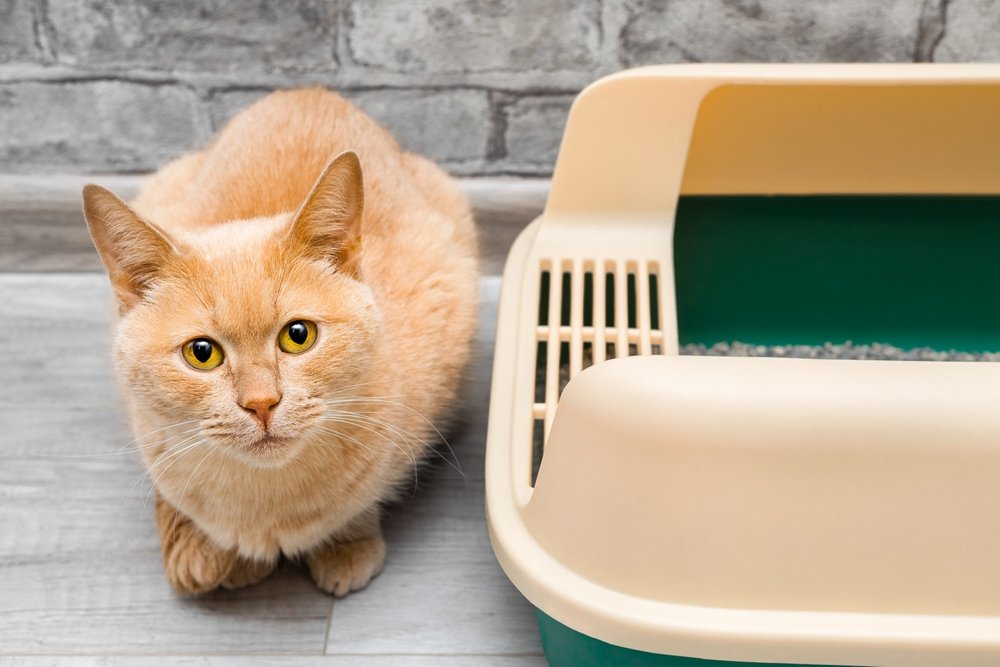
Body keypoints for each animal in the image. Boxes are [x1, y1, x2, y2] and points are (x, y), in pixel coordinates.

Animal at [82, 87, 480, 596]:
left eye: (297, 336)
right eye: (202, 353)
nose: (261, 403)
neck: (269, 500)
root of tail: (308, 91)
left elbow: (358, 504)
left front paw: (347, 542)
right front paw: (219, 555)